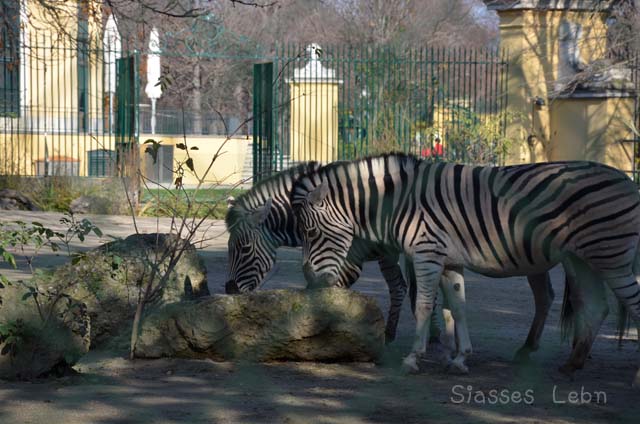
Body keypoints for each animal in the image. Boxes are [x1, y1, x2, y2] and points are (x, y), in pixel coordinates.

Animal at [228, 161, 556, 368]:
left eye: (243, 249)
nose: (228, 288)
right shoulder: (389, 254)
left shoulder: (369, 256)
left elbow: (401, 291)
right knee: (547, 296)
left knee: (548, 296)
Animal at [292, 154, 640, 386]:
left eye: (310, 233)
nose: (309, 281)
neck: (399, 202)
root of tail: (627, 180)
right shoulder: (449, 261)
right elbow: (458, 307)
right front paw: (459, 359)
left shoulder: (427, 254)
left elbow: (423, 306)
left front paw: (413, 359)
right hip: (583, 259)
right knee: (594, 306)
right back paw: (571, 364)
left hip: (611, 257)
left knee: (628, 305)